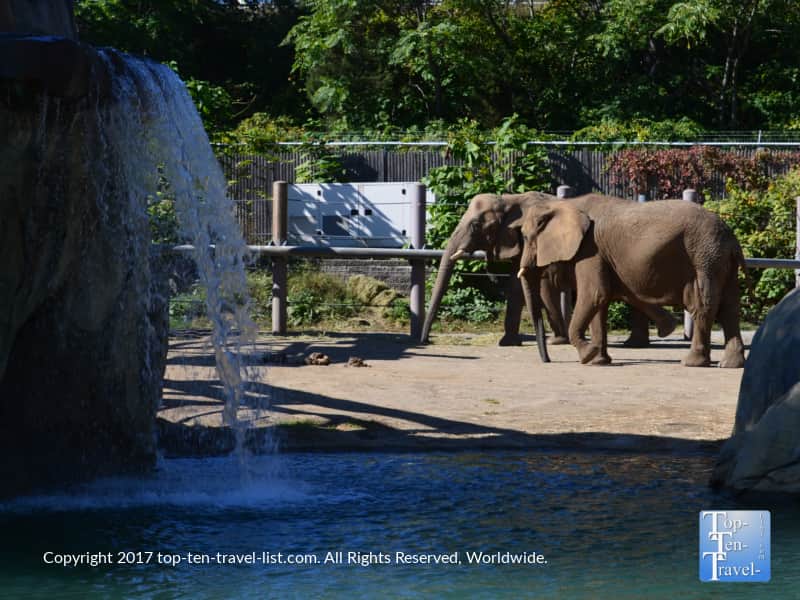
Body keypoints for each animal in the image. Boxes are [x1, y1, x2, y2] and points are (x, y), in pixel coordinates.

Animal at [420, 192, 676, 360]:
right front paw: (509, 343)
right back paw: (655, 334)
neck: (509, 199)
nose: (426, 341)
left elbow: (538, 287)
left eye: (475, 225)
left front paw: (555, 341)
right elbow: (518, 286)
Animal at [516, 194, 746, 367]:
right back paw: (730, 364)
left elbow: (594, 294)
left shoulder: (590, 250)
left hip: (705, 257)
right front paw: (599, 361)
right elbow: (600, 302)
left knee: (703, 306)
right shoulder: (599, 254)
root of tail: (732, 238)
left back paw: (691, 362)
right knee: (730, 307)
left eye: (526, 237)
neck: (563, 203)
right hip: (719, 260)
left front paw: (588, 355)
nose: (548, 360)